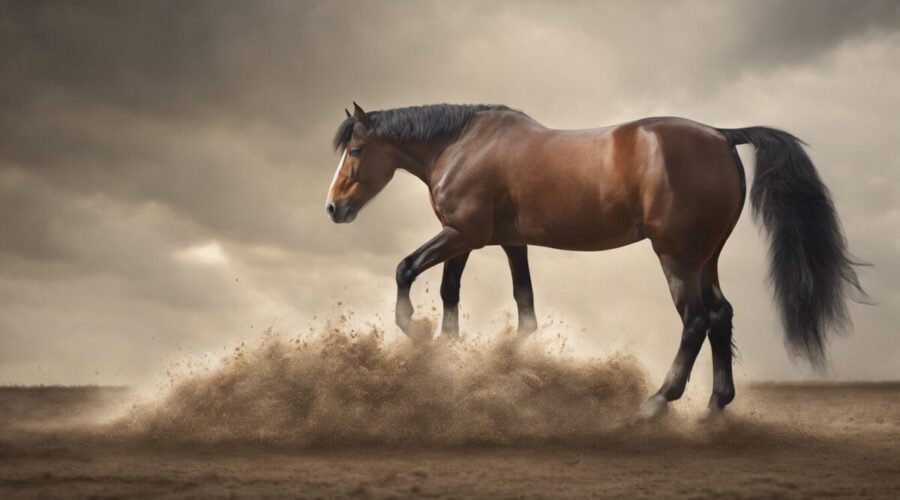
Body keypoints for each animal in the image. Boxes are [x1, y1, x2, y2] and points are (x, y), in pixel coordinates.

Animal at [325, 102, 864, 418]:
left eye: (356, 149)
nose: (333, 208)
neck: (461, 145)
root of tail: (720, 134)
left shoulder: (461, 234)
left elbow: (407, 269)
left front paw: (415, 330)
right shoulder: (488, 241)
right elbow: (498, 299)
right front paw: (457, 354)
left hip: (677, 257)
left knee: (695, 319)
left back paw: (657, 402)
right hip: (705, 258)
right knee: (720, 315)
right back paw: (715, 405)